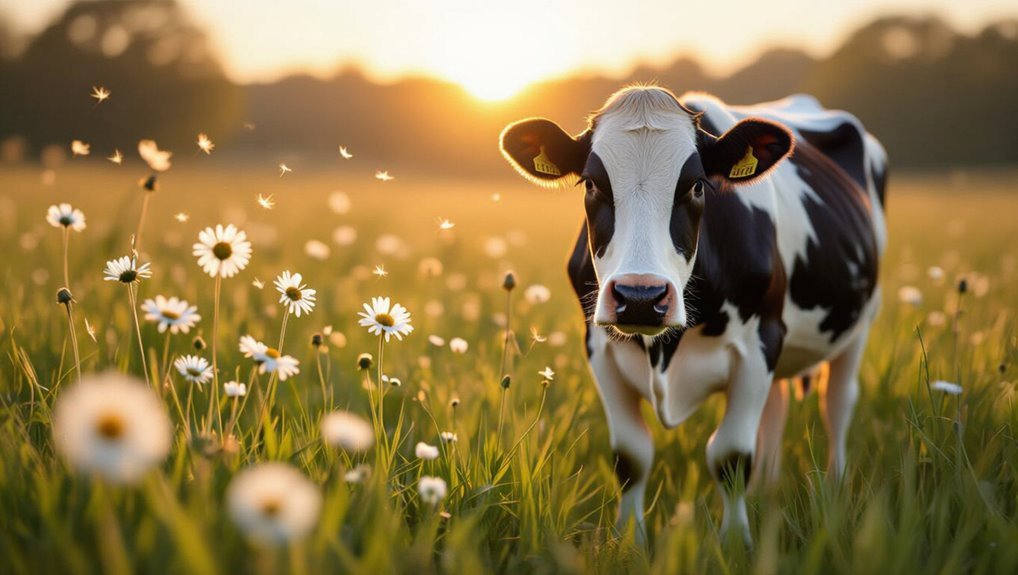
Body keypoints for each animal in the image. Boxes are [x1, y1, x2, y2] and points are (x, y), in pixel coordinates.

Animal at [499, 86, 887, 545]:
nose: (641, 296)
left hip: (860, 324)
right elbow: (631, 456)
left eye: (697, 186)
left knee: (838, 404)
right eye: (591, 183)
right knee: (776, 409)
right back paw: (768, 489)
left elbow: (731, 455)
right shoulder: (600, 350)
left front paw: (734, 544)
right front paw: (628, 542)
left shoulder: (758, 345)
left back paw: (834, 490)